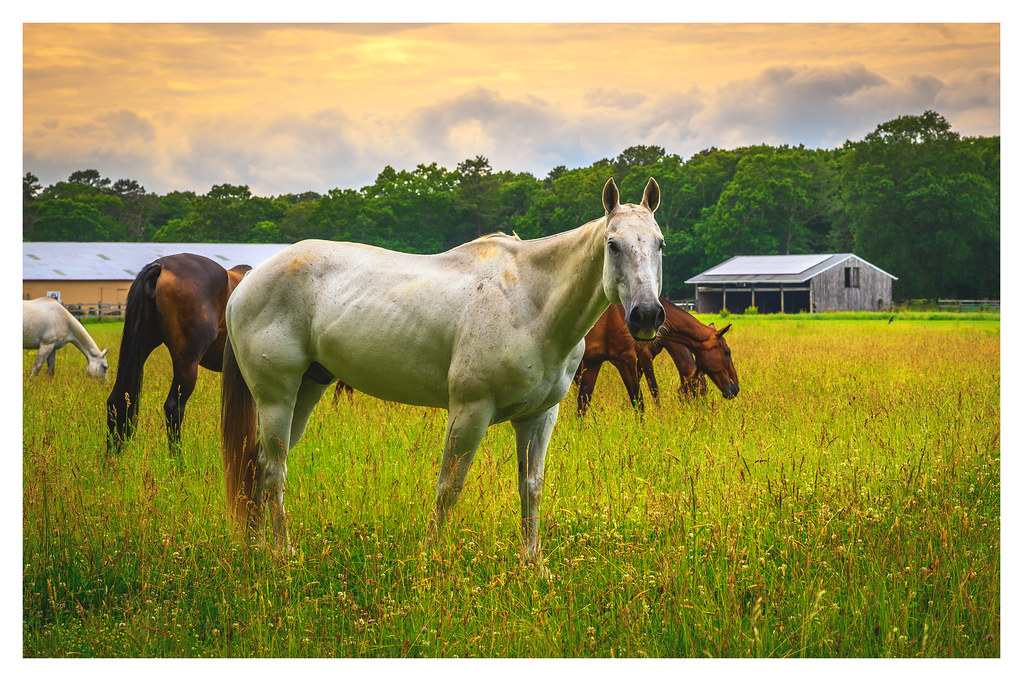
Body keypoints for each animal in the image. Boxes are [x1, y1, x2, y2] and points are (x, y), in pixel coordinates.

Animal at [221, 178, 665, 564]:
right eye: (613, 245)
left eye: (659, 244)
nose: (646, 315)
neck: (529, 299)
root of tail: (249, 279)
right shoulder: (470, 410)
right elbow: (449, 487)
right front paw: (430, 561)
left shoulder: (539, 417)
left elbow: (531, 489)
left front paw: (533, 565)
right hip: (277, 397)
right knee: (274, 469)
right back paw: (284, 553)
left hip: (307, 391)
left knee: (259, 463)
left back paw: (256, 549)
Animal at [575, 297, 737, 415]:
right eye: (727, 352)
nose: (735, 387)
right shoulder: (632, 357)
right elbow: (645, 395)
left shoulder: (594, 360)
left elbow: (583, 400)